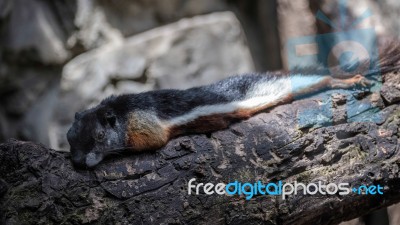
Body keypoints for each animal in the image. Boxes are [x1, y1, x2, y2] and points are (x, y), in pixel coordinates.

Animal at [66, 43, 400, 169]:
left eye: (99, 136)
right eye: (69, 136)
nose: (79, 162)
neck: (119, 113)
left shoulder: (143, 123)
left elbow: (152, 141)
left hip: (291, 85)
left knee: (320, 79)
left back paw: (350, 80)